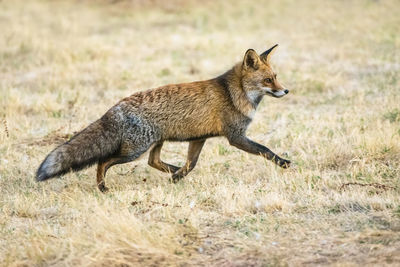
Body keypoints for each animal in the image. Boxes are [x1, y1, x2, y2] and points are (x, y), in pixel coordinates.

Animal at [36, 44, 290, 193]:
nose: (286, 91)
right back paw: (102, 187)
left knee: (153, 161)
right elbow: (265, 149)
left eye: (276, 77)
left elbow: (191, 164)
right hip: (134, 151)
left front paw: (177, 177)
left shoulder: (199, 138)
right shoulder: (235, 137)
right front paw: (284, 163)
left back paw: (173, 171)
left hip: (156, 142)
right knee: (103, 162)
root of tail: (115, 108)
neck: (233, 93)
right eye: (268, 80)